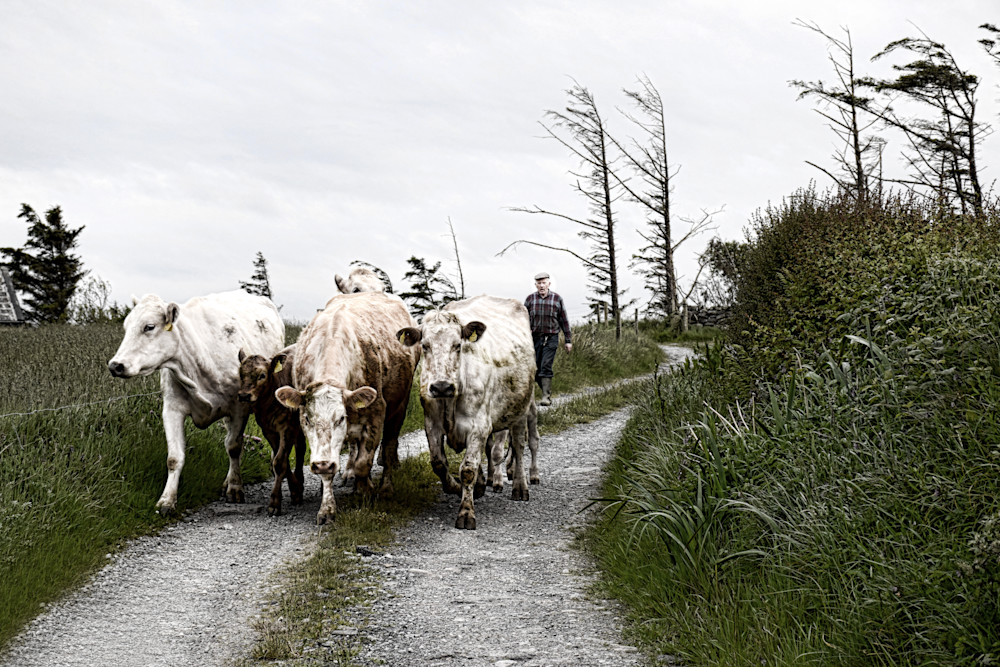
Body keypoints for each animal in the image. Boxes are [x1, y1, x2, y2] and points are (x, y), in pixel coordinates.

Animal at [108, 290, 284, 514]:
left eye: (149, 326)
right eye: (126, 327)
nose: (115, 365)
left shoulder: (240, 407)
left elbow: (234, 446)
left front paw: (235, 488)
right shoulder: (172, 409)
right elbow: (174, 458)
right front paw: (167, 500)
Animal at [238, 345, 306, 516]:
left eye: (262, 375)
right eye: (240, 374)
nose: (244, 395)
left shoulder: (288, 428)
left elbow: (280, 462)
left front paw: (275, 503)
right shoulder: (268, 430)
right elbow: (280, 460)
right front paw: (295, 490)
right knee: (300, 449)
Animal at [276, 291, 419, 525]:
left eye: (340, 418)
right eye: (307, 419)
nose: (322, 464)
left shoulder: (376, 414)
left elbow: (364, 462)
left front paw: (366, 490)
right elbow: (332, 471)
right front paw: (327, 509)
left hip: (399, 407)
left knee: (389, 447)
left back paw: (385, 488)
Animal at [397, 294, 536, 530]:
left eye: (457, 345)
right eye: (425, 346)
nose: (441, 386)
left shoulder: (478, 426)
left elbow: (468, 469)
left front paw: (466, 512)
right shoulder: (432, 425)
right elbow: (439, 463)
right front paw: (455, 487)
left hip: (521, 409)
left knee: (518, 446)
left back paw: (520, 487)